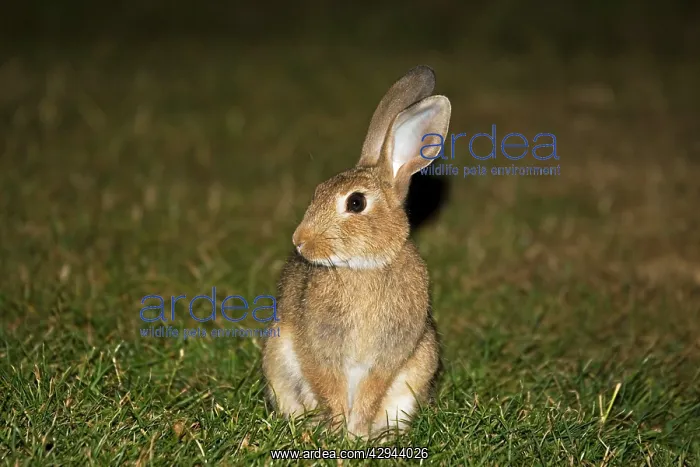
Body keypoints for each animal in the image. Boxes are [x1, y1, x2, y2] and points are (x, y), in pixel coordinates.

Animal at [261, 65, 450, 439]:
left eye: (356, 203)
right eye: (318, 191)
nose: (299, 240)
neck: (364, 266)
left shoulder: (388, 356)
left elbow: (369, 392)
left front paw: (356, 433)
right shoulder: (318, 347)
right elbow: (328, 386)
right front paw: (339, 433)